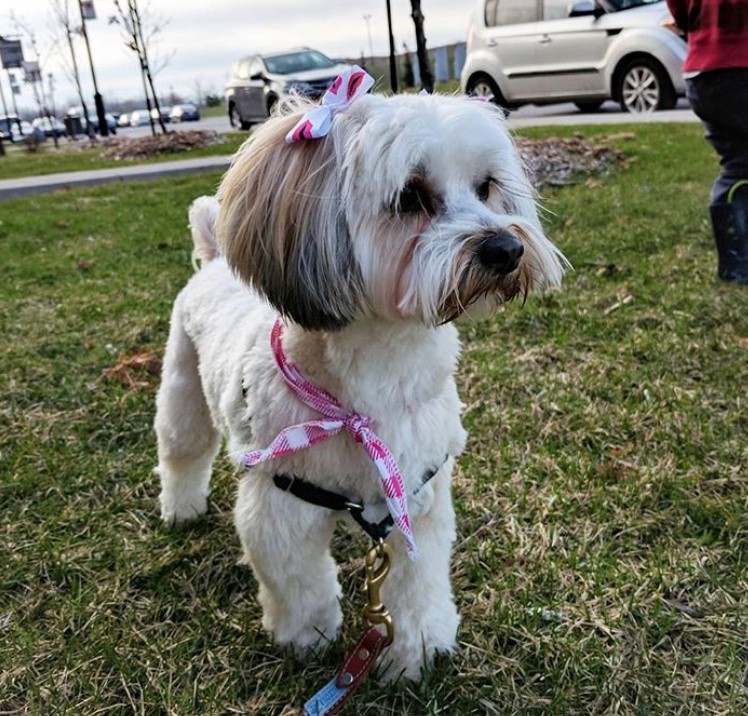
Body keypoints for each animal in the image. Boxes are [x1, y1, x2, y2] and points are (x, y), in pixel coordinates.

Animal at [158, 85, 568, 684]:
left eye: (486, 187)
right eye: (410, 196)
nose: (505, 249)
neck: (373, 394)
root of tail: (214, 258)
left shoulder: (416, 499)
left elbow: (416, 585)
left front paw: (417, 651)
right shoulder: (280, 507)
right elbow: (298, 584)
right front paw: (309, 638)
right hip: (183, 387)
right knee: (182, 450)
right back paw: (181, 507)